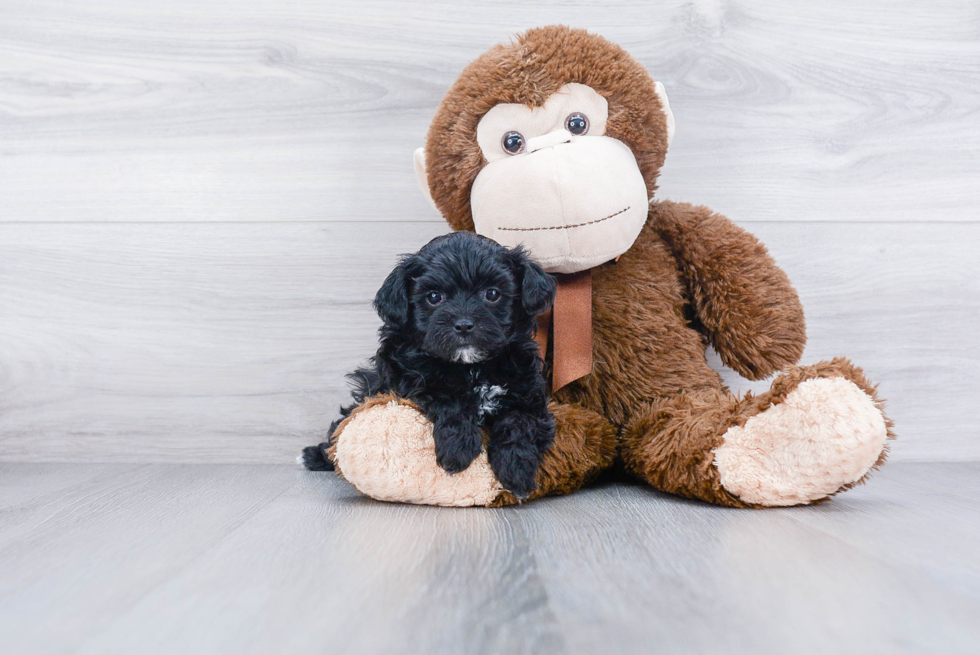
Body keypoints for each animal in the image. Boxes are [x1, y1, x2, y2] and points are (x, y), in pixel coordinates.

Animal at [302, 233, 556, 500]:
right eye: (434, 297)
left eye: (492, 294)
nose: (463, 324)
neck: (471, 368)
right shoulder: (407, 376)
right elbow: (447, 397)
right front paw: (457, 450)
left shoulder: (528, 391)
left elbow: (519, 422)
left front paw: (516, 471)